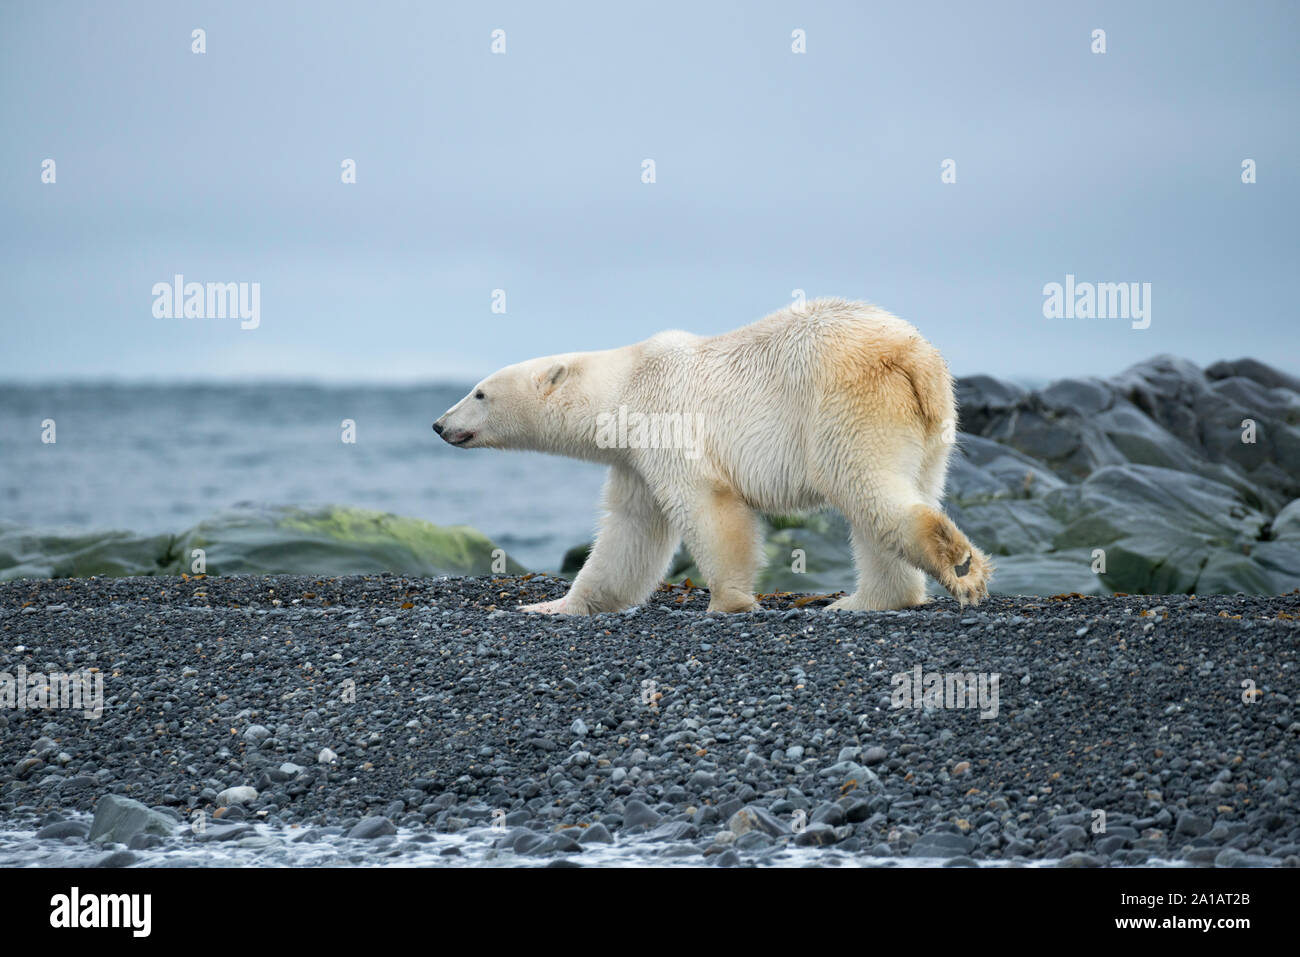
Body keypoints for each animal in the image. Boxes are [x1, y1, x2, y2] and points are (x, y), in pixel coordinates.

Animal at [431, 297, 987, 613]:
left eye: (479, 393)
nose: (439, 424)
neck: (626, 384)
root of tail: (912, 356)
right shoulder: (635, 458)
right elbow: (630, 530)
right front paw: (551, 606)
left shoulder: (666, 420)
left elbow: (706, 505)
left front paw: (729, 602)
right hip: (934, 423)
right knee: (896, 496)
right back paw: (864, 602)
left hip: (847, 403)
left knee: (865, 487)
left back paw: (960, 568)